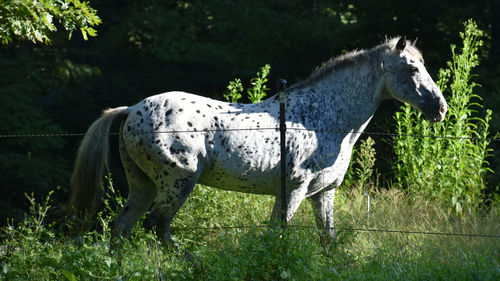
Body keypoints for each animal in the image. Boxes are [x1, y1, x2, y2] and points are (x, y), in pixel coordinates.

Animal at [68, 36, 448, 245]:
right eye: (413, 69)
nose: (440, 108)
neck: (322, 119)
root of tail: (132, 109)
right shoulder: (294, 188)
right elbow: (277, 233)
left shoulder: (323, 193)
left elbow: (328, 240)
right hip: (178, 181)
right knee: (156, 226)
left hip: (143, 184)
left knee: (123, 228)